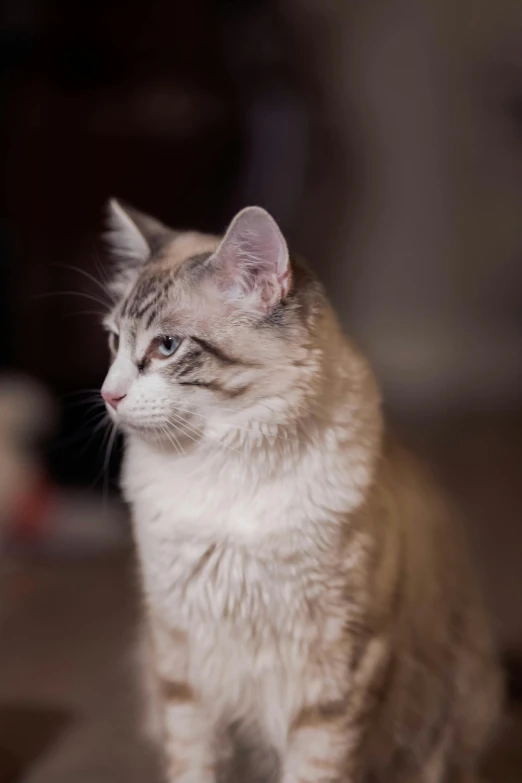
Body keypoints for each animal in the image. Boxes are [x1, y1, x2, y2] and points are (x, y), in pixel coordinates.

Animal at [100, 201, 500, 783]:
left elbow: (315, 766)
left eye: (166, 347)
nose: (108, 394)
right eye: (113, 343)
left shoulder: (336, 672)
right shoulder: (181, 664)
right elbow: (193, 761)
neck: (221, 467)